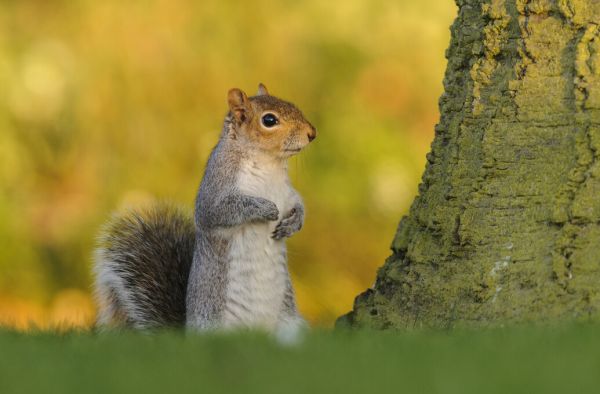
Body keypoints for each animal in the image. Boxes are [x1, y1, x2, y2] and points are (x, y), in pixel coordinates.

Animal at [94, 84, 316, 330]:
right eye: (269, 120)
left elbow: (298, 203)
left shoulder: (287, 193)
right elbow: (220, 211)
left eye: (292, 104)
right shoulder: (215, 190)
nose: (312, 133)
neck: (269, 163)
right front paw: (264, 207)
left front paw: (293, 223)